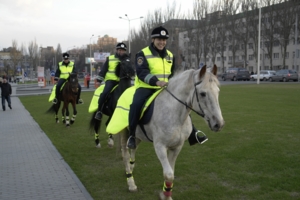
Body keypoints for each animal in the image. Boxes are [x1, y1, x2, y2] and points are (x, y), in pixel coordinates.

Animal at [116, 65, 224, 199]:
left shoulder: (176, 147)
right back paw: (131, 182)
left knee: (133, 148)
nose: (219, 124)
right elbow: (168, 174)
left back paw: (131, 168)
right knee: (125, 154)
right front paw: (165, 195)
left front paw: (166, 194)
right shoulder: (160, 146)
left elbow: (171, 173)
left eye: (218, 91)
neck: (175, 114)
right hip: (124, 132)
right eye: (203, 94)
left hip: (137, 135)